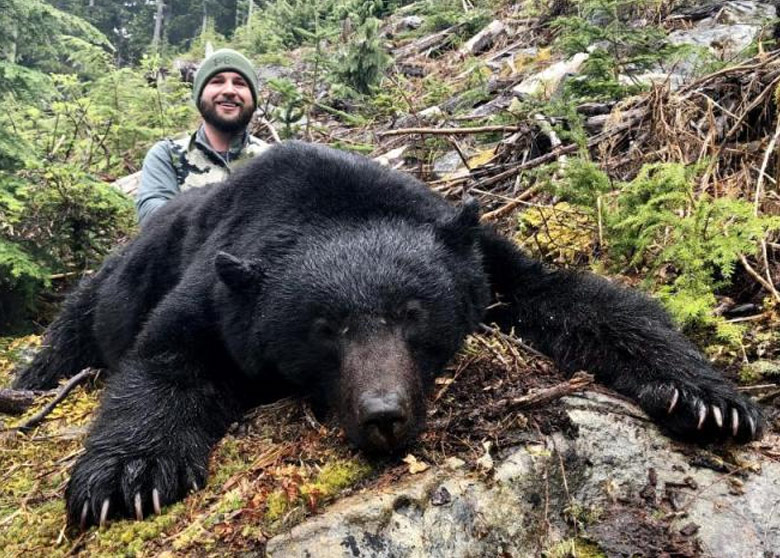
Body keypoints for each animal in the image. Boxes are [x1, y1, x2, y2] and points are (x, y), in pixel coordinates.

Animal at [14, 141, 763, 530]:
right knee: (76, 323)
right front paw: (126, 475)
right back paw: (28, 382)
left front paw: (707, 397)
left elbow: (574, 297)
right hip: (119, 276)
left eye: (412, 312)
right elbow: (167, 356)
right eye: (325, 328)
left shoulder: (475, 254)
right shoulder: (223, 285)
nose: (384, 414)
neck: (330, 206)